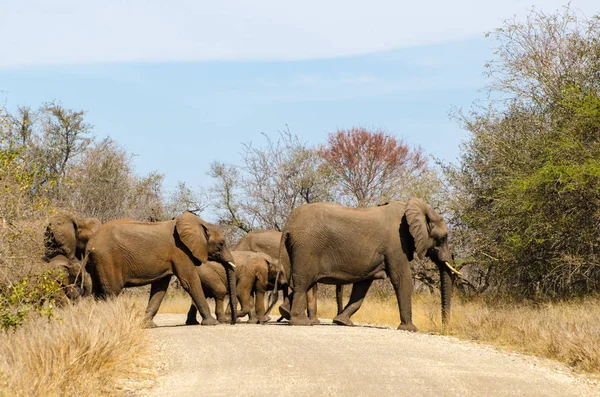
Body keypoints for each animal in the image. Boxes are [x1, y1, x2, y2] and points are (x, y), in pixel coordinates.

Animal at [85, 212, 239, 326]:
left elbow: (160, 288)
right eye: (221, 243)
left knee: (97, 293)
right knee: (110, 292)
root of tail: (90, 243)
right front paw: (212, 323)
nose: (232, 322)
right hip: (106, 260)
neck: (200, 224)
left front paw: (148, 325)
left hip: (97, 263)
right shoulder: (180, 251)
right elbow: (190, 282)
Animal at [278, 198, 458, 332]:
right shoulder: (396, 244)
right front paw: (410, 329)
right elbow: (402, 279)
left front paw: (342, 322)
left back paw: (285, 312)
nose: (444, 328)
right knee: (303, 284)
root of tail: (288, 226)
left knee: (302, 283)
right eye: (442, 238)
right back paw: (301, 322)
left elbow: (362, 286)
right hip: (306, 248)